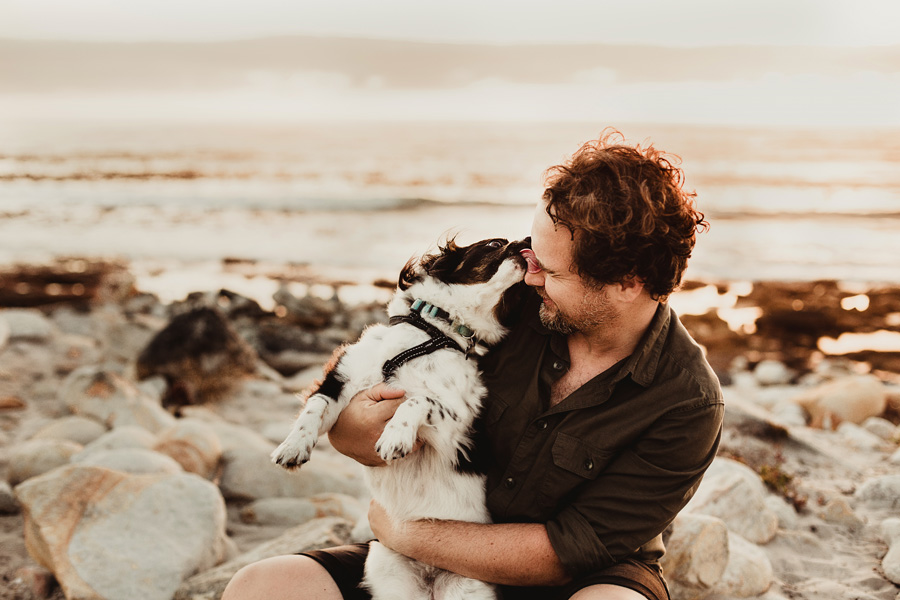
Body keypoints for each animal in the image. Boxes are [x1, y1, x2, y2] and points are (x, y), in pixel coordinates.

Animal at [270, 239, 532, 600]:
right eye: (495, 244)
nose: (527, 242)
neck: (430, 334)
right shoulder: (340, 382)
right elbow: (314, 407)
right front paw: (293, 446)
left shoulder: (455, 420)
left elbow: (415, 400)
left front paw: (395, 437)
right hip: (390, 576)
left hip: (467, 589)